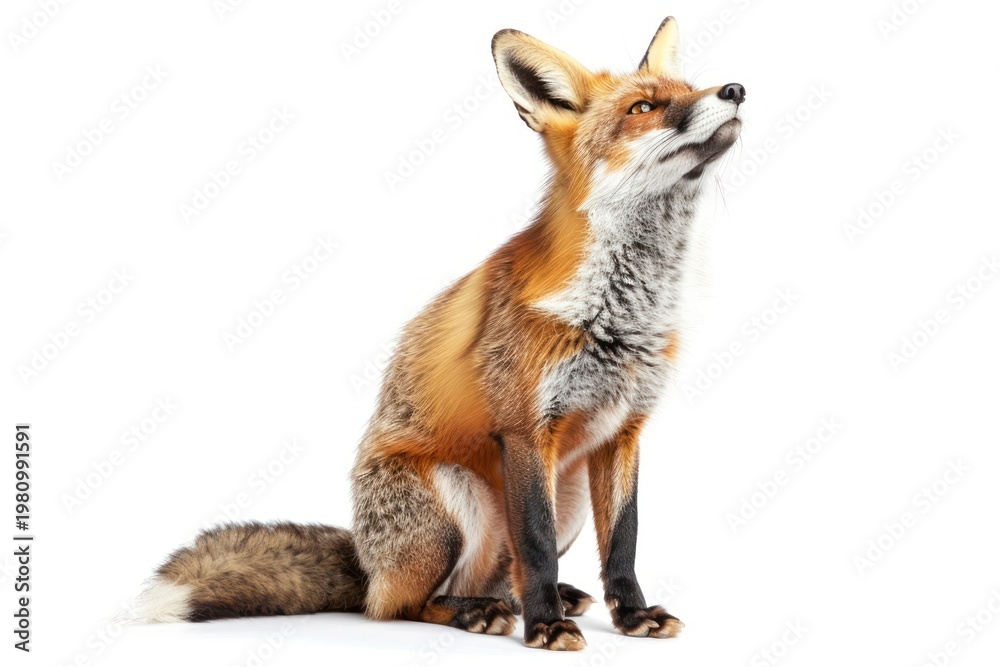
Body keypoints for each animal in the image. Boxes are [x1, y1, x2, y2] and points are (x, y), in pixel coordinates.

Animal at [139, 17, 745, 651]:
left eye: (689, 89)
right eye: (643, 107)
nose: (735, 90)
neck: (620, 315)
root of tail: (367, 563)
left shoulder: (623, 432)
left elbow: (623, 541)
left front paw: (630, 615)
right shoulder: (525, 430)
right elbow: (535, 544)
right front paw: (545, 626)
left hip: (570, 496)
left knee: (502, 578)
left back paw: (544, 598)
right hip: (456, 498)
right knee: (401, 605)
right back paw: (478, 611)